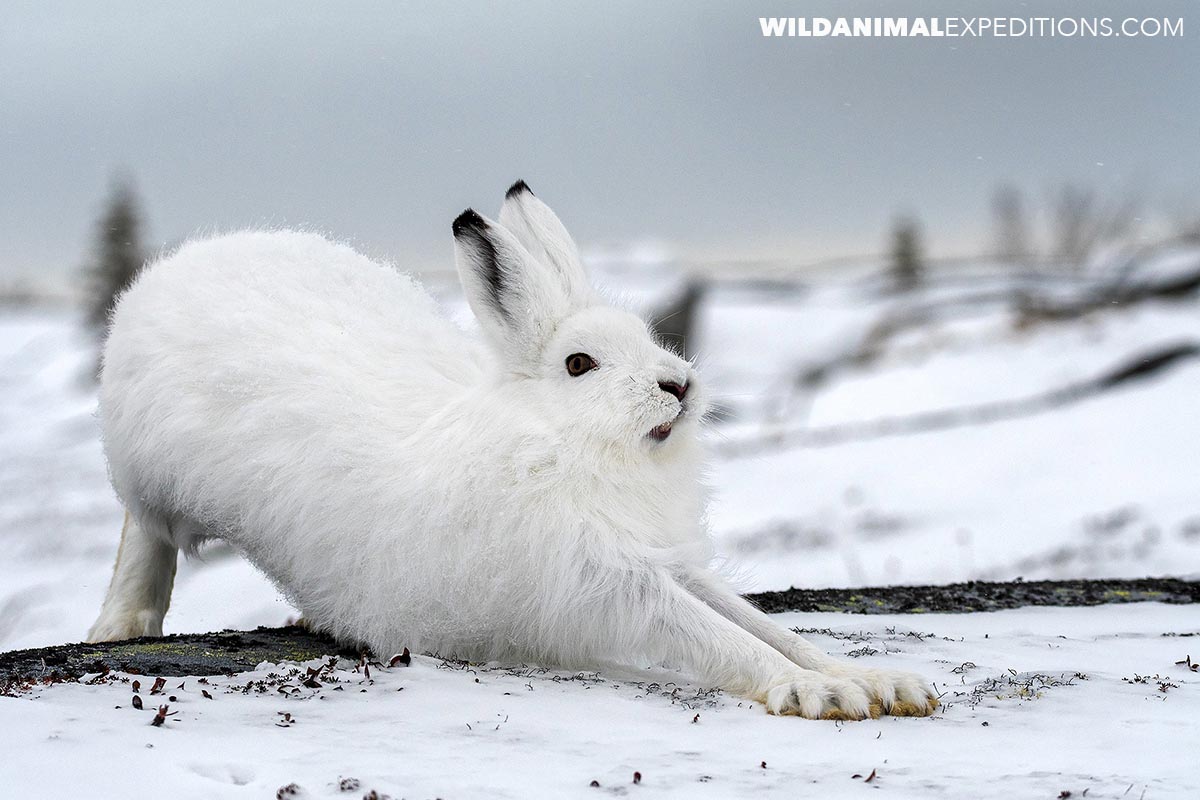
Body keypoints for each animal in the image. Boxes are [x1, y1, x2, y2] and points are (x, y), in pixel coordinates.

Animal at [87, 180, 938, 720]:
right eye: (579, 365)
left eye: (647, 336)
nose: (679, 385)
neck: (561, 440)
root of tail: (164, 277)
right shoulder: (605, 579)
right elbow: (713, 636)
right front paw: (821, 698)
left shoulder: (662, 559)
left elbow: (759, 623)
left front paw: (876, 682)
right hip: (148, 471)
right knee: (143, 532)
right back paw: (122, 626)